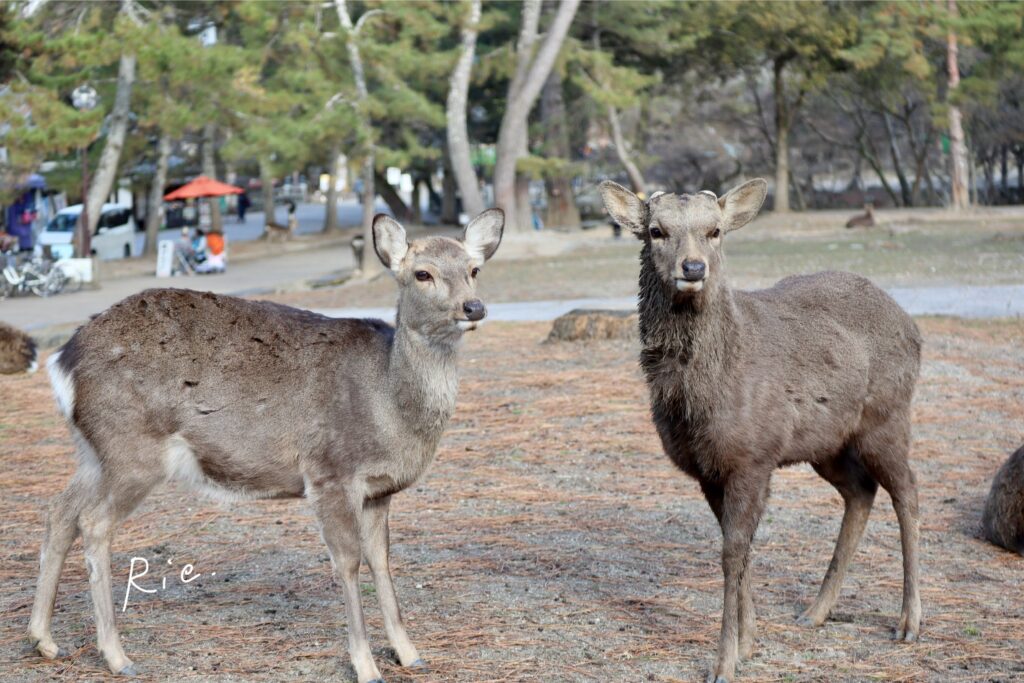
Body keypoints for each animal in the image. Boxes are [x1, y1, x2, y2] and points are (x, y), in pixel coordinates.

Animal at [28, 209, 504, 683]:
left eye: (474, 270)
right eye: (423, 273)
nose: (474, 307)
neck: (388, 405)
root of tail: (62, 360)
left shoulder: (378, 490)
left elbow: (382, 561)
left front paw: (409, 653)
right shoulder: (330, 472)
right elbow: (348, 563)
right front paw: (366, 665)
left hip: (94, 452)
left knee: (60, 511)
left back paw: (43, 640)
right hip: (132, 449)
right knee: (93, 522)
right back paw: (115, 655)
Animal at [600, 179, 922, 683]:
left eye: (715, 231)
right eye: (656, 230)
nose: (693, 267)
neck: (701, 400)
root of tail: (914, 327)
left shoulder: (753, 455)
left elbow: (732, 552)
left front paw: (723, 662)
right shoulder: (709, 469)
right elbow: (741, 547)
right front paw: (749, 642)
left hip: (887, 416)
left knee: (906, 489)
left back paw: (908, 621)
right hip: (828, 444)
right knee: (861, 491)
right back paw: (815, 611)